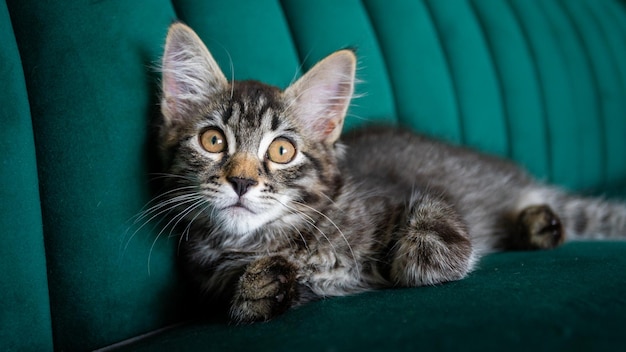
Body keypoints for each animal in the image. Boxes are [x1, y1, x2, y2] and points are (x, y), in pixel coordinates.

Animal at [157, 23, 624, 324]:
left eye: (282, 151)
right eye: (213, 141)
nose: (241, 182)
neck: (277, 239)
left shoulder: (418, 202)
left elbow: (432, 243)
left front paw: (404, 259)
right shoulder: (212, 275)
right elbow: (246, 294)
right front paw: (260, 284)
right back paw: (538, 225)